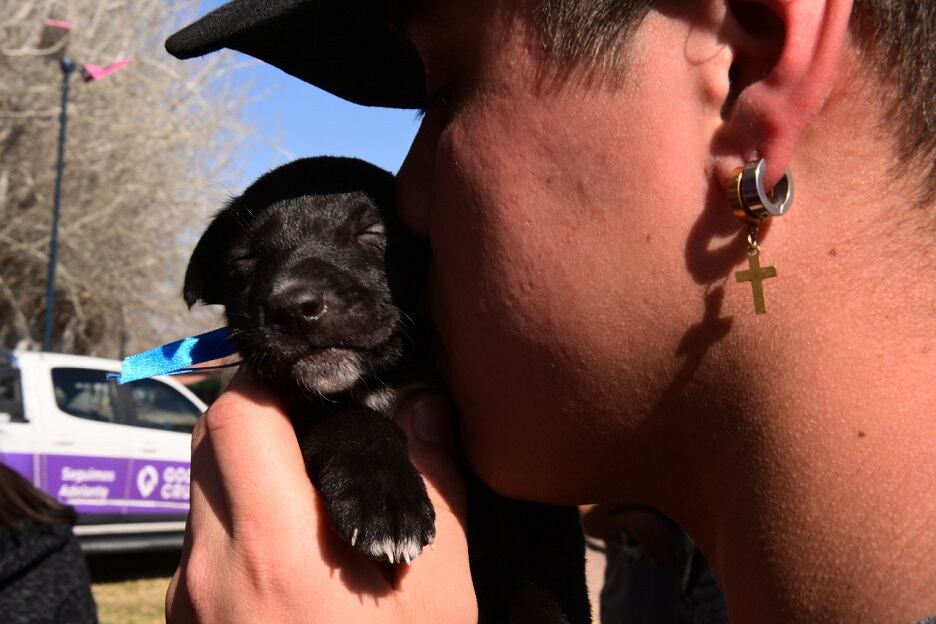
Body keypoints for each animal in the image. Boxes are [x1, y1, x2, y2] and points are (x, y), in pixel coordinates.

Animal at [186, 158, 588, 620]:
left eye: (372, 233)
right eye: (243, 260)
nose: (293, 306)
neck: (379, 382)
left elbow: (540, 577)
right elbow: (347, 418)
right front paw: (382, 497)